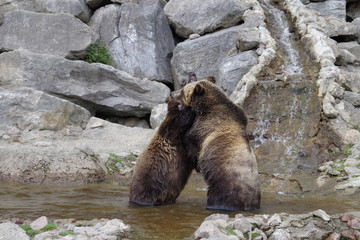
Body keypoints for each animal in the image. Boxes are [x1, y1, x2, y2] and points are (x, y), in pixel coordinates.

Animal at [170, 78, 260, 210]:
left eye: (182, 91)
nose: (172, 93)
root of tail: (248, 202)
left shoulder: (205, 125)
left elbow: (191, 141)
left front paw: (196, 164)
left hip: (223, 185)